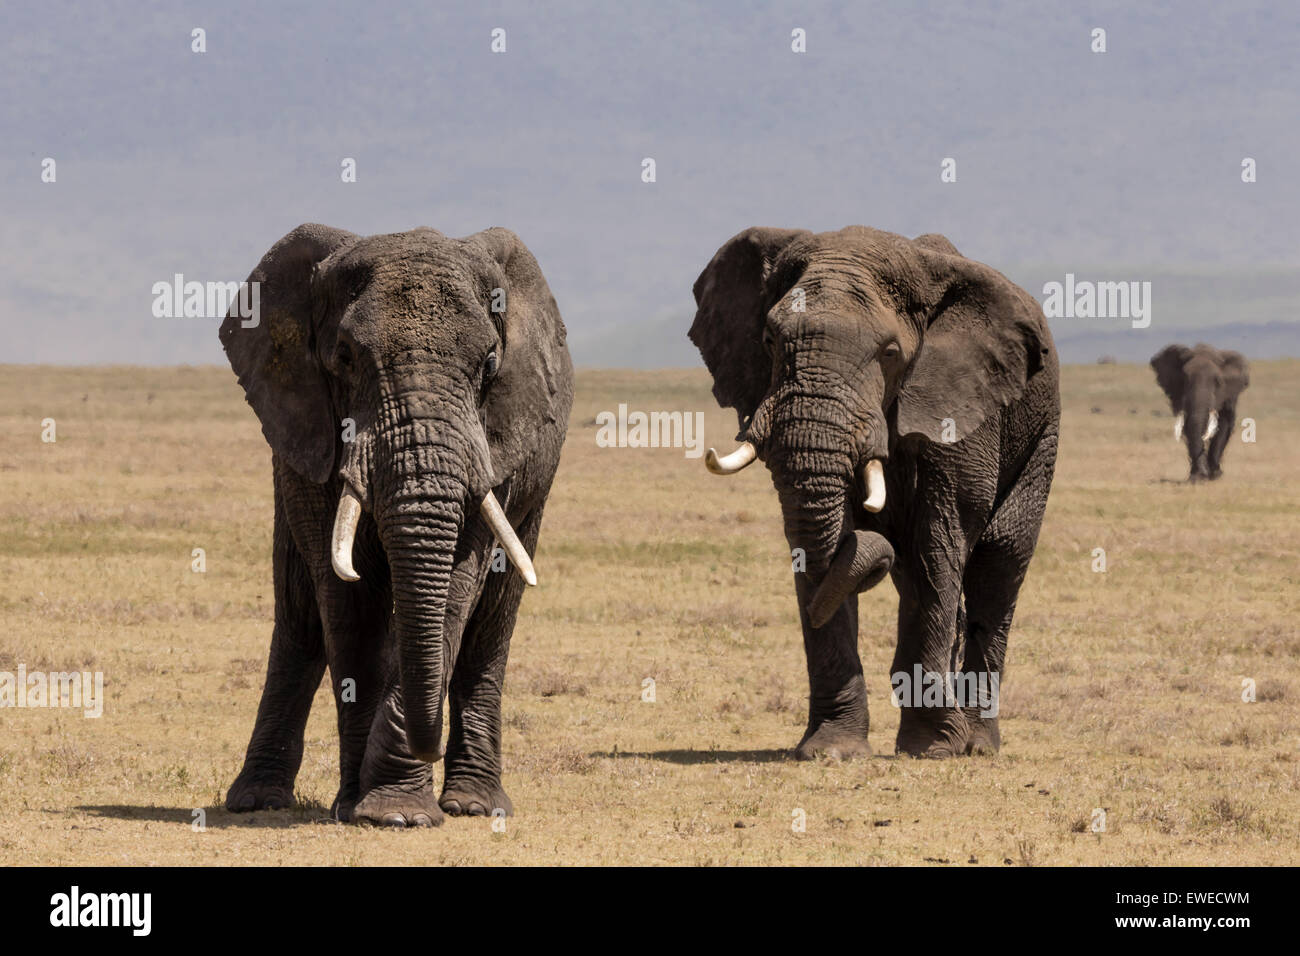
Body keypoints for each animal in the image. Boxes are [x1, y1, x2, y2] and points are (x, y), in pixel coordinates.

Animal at [219, 222, 574, 822]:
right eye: (344, 357)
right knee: (300, 617)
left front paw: (392, 809)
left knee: (490, 627)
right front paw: (371, 808)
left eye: (489, 365)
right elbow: (348, 601)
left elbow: (457, 588)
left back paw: (476, 805)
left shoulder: (491, 450)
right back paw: (257, 802)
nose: (425, 746)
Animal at [691, 226, 1055, 764]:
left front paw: (934, 748)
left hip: (1041, 436)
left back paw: (976, 745)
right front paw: (831, 751)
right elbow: (820, 540)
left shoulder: (959, 406)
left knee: (998, 563)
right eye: (769, 341)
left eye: (889, 353)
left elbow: (938, 539)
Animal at [1149, 343, 1248, 481]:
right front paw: (1198, 477)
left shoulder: (1229, 395)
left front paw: (1214, 476)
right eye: (1184, 379)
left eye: (1217, 381)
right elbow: (1188, 426)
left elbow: (1224, 424)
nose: (1205, 473)